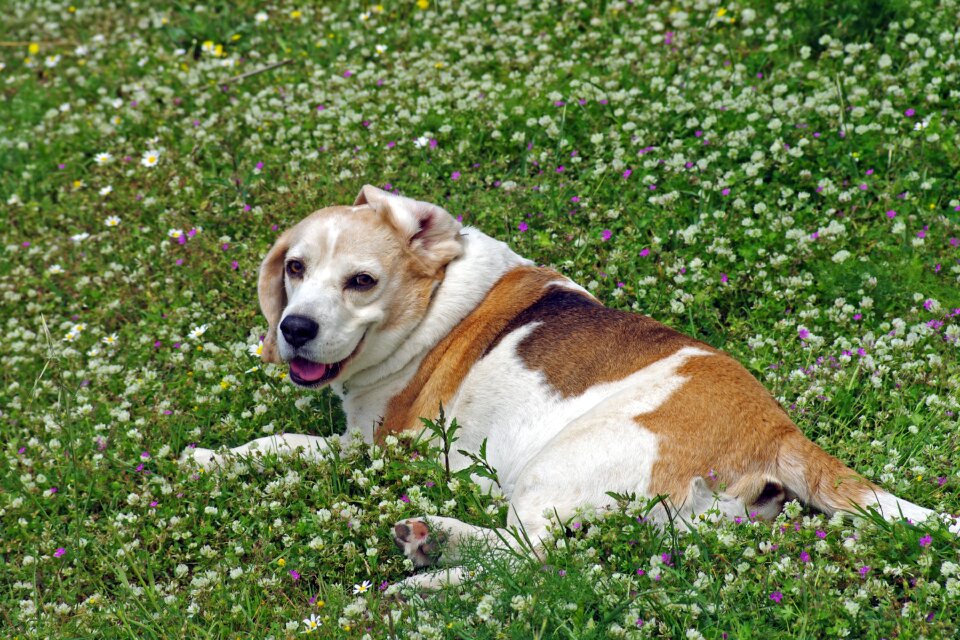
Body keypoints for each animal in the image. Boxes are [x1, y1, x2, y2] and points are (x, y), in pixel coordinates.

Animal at [180, 184, 952, 584]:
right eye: (295, 268)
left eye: (362, 282)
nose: (294, 329)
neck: (437, 297)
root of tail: (777, 428)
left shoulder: (372, 446)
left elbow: (283, 442)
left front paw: (208, 459)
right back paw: (431, 554)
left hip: (560, 463)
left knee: (529, 565)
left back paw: (427, 571)